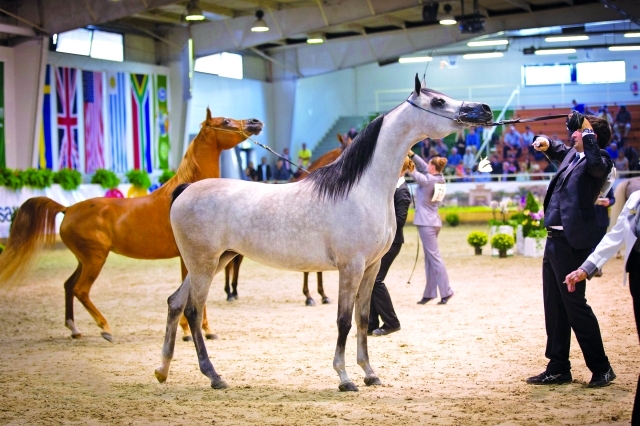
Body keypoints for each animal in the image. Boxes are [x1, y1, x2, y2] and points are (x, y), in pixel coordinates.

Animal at [0, 108, 262, 342]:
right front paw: (190, 331)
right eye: (225, 121)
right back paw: (105, 329)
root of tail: (68, 209)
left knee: (68, 286)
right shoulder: (190, 257)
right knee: (80, 290)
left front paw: (205, 330)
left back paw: (75, 330)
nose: (255, 122)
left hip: (84, 259)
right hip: (95, 260)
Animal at [156, 75, 496, 392]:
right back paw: (213, 376)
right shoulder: (351, 267)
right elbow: (343, 320)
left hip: (215, 261)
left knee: (175, 302)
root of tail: (184, 190)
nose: (484, 109)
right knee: (192, 311)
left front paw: (370, 373)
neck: (362, 189)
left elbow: (362, 319)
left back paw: (163, 370)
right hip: (204, 264)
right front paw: (345, 378)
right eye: (438, 101)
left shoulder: (371, 268)